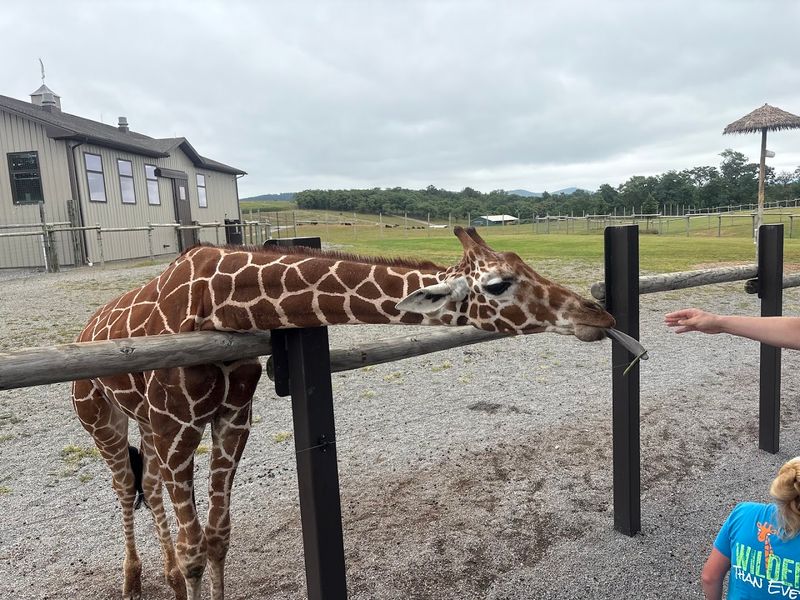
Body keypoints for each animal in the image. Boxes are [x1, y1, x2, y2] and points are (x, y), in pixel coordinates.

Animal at [71, 227, 614, 600]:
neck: (224, 305)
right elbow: (194, 552)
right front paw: (175, 573)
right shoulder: (177, 423)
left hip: (145, 421)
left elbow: (217, 538)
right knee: (126, 486)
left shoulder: (232, 416)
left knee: (150, 484)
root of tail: (85, 329)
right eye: (500, 284)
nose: (598, 314)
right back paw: (133, 580)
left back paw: (162, 576)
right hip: (101, 417)